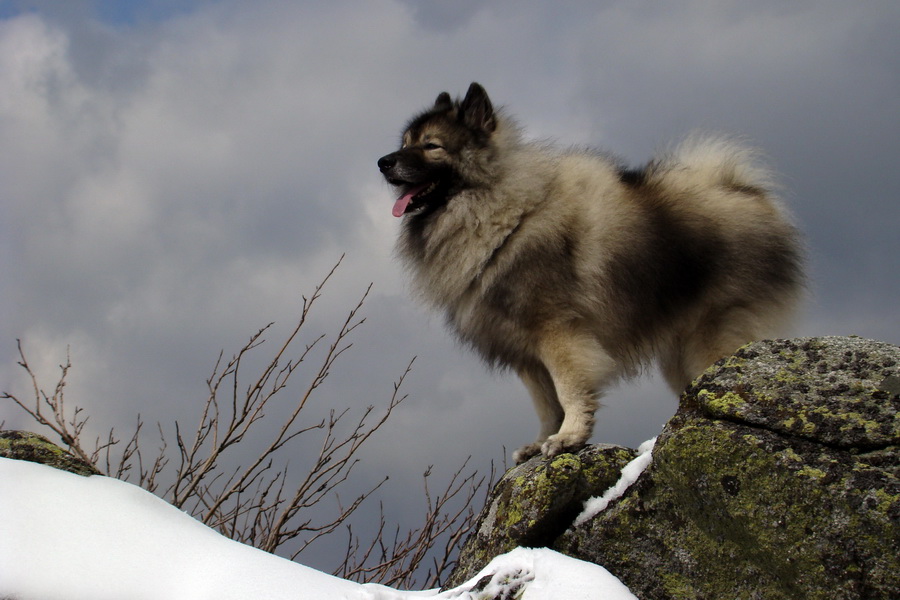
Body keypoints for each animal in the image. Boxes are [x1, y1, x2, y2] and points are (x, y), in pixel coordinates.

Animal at [376, 82, 804, 462]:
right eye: (405, 142)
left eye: (431, 145)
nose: (384, 162)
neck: (505, 216)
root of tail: (743, 191)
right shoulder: (526, 355)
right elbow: (546, 405)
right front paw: (541, 442)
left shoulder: (558, 335)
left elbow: (569, 391)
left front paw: (569, 437)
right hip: (677, 352)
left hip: (710, 338)